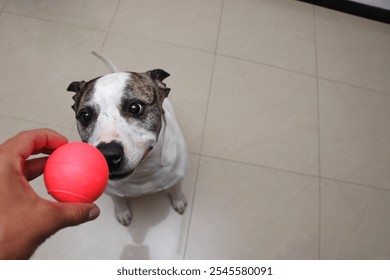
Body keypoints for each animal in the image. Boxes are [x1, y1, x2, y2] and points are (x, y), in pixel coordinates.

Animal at [66, 52, 188, 226]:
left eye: (135, 107)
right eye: (85, 116)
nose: (108, 155)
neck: (141, 173)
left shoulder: (176, 177)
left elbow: (176, 189)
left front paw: (178, 200)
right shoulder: (112, 191)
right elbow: (118, 199)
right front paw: (122, 211)